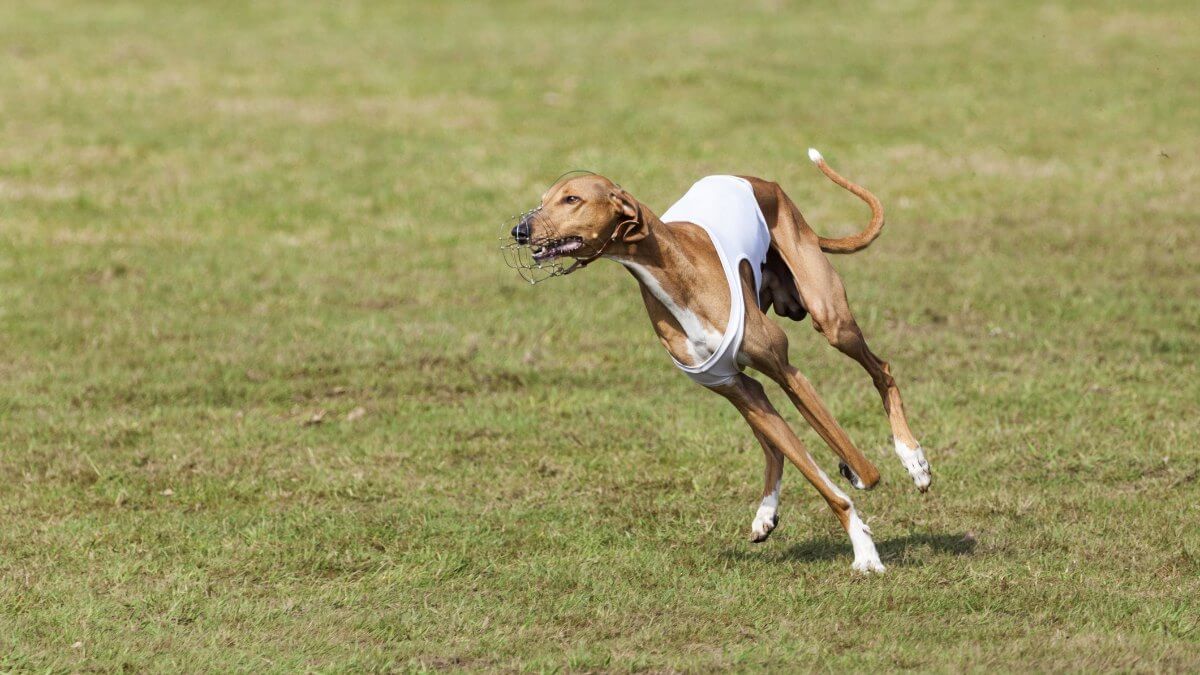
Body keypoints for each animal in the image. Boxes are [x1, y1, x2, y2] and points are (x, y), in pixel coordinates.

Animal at [506, 149, 926, 569]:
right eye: (543, 199)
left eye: (571, 199)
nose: (519, 231)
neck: (675, 273)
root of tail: (763, 182)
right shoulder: (733, 385)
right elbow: (813, 471)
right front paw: (862, 545)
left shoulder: (788, 373)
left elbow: (865, 470)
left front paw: (864, 531)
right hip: (748, 390)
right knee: (773, 446)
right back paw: (766, 513)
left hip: (832, 319)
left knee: (882, 370)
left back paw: (913, 460)